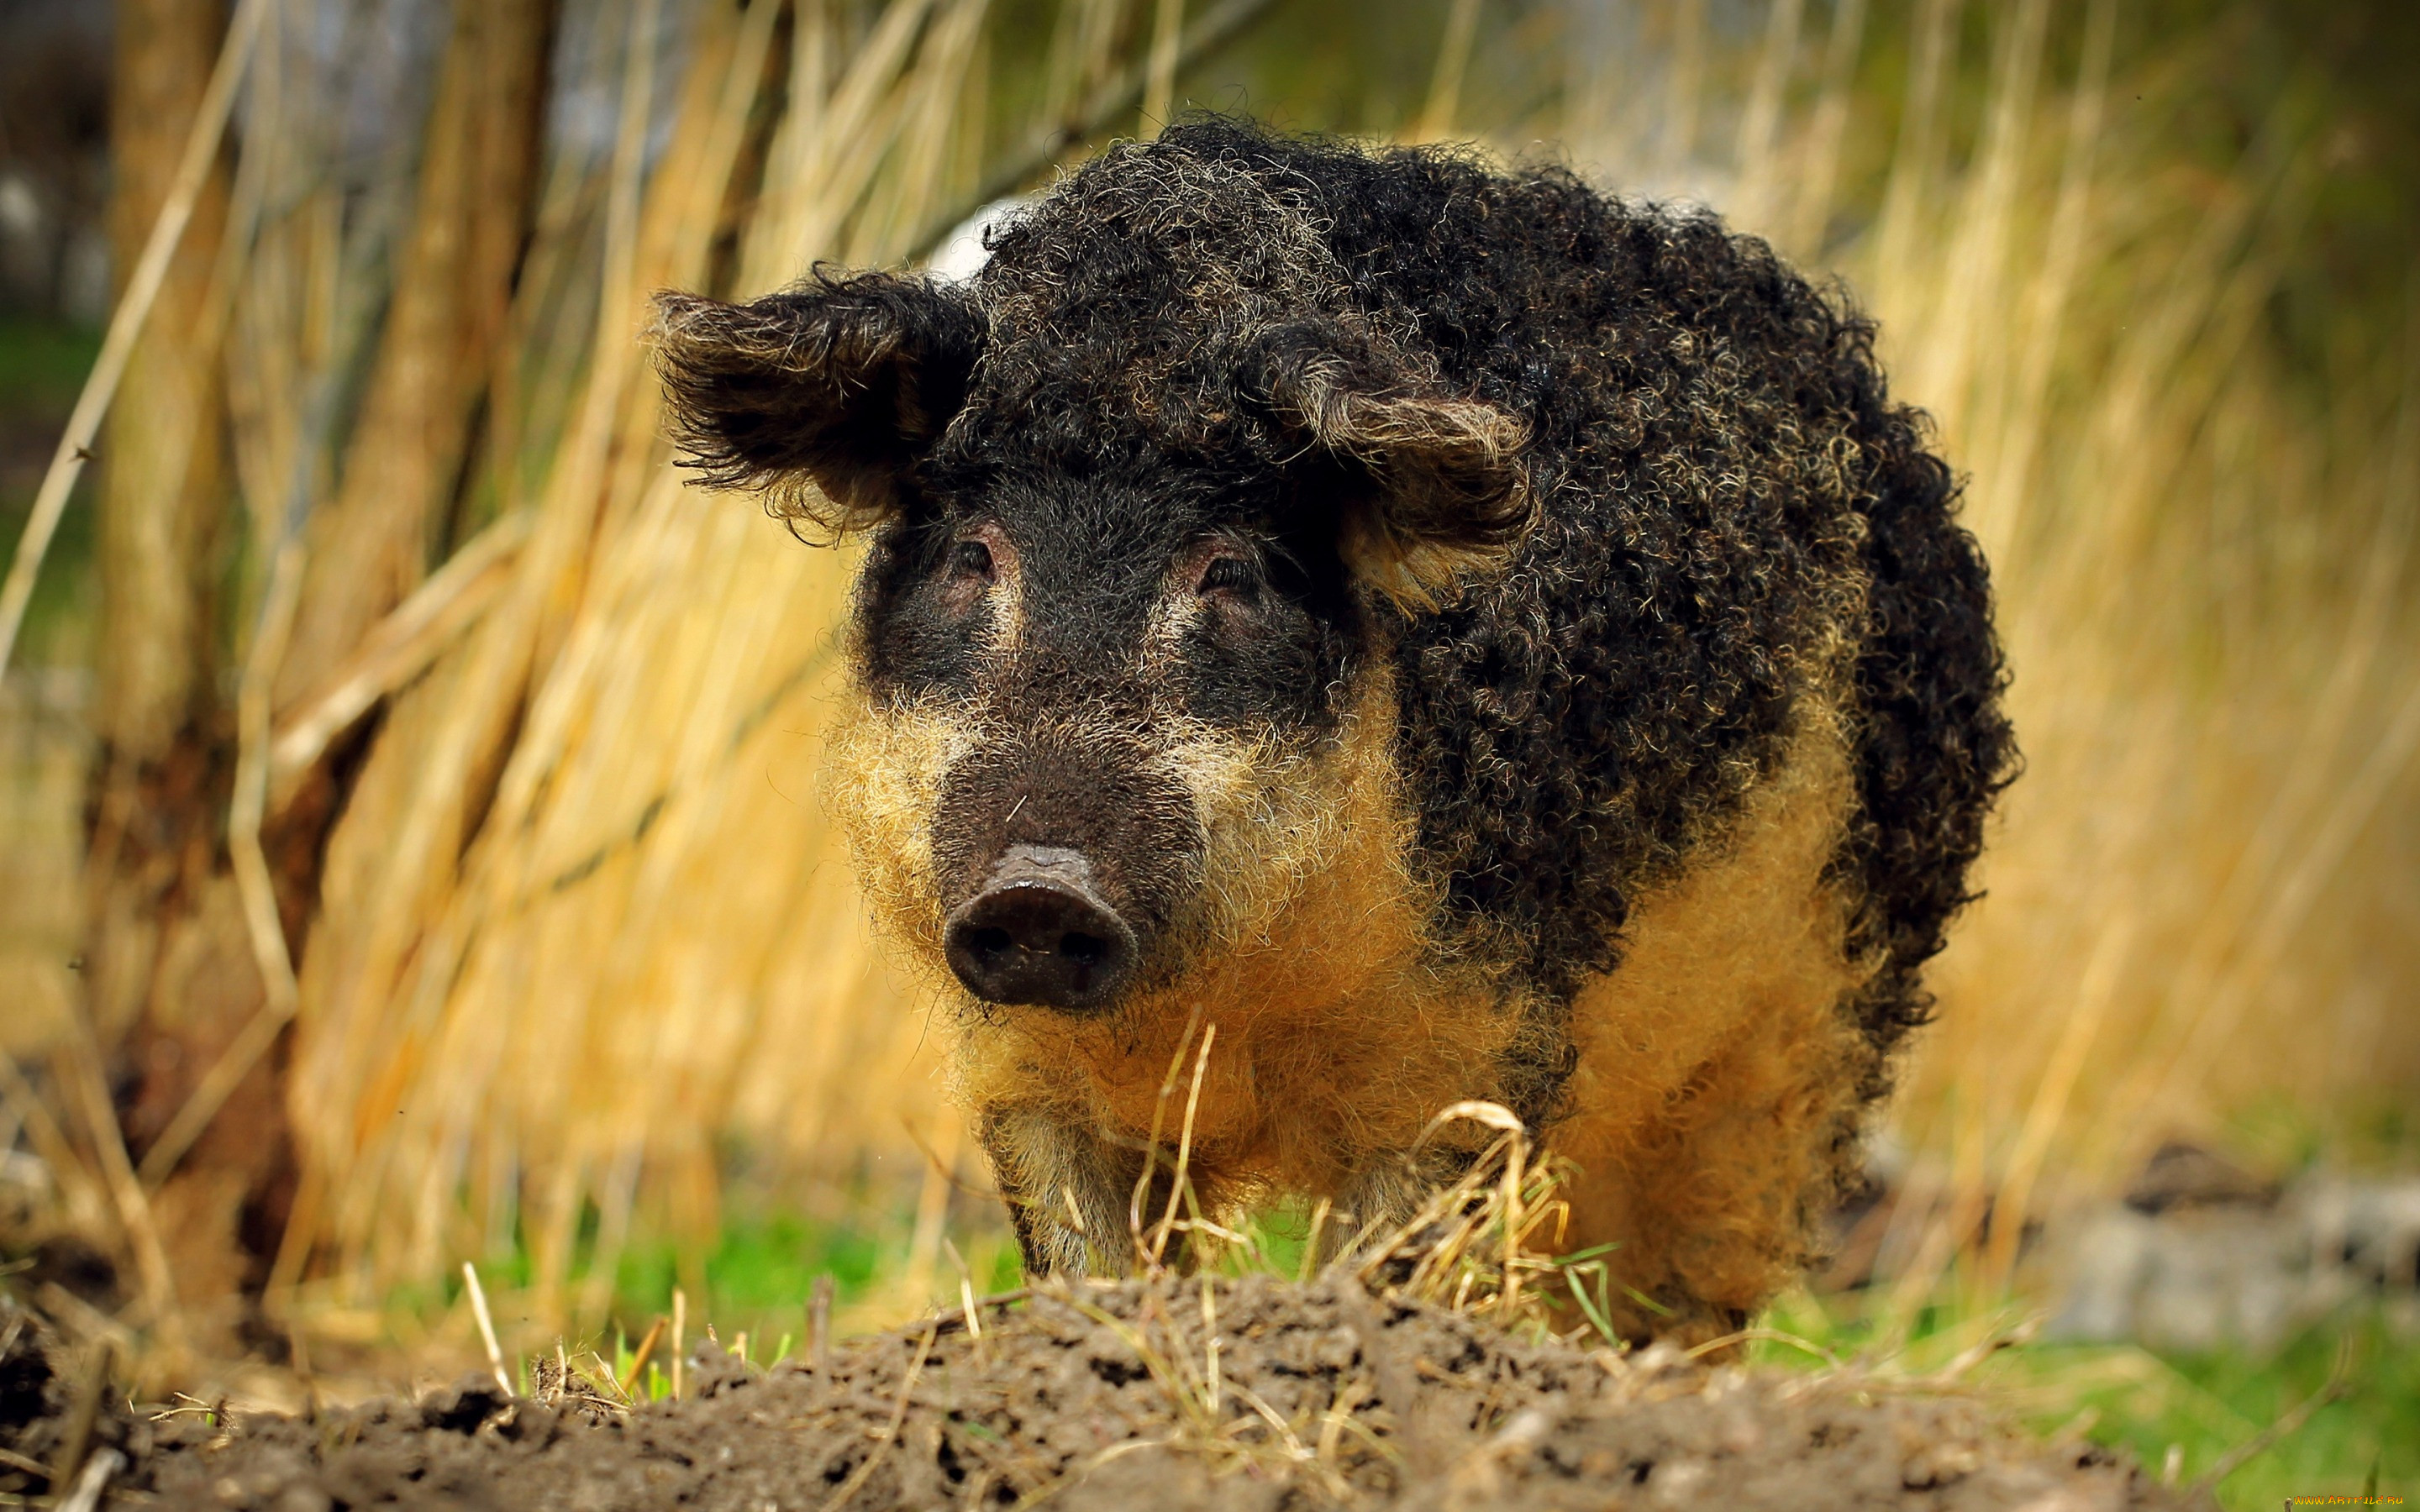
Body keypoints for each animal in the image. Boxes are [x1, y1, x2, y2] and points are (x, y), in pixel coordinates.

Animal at [648, 121, 2023, 1345]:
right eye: (973, 556)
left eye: (1233, 571)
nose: (1040, 886)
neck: (1233, 1006)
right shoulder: (1019, 1061)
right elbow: (1084, 1259)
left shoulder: (1482, 1046)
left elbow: (1395, 1260)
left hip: (1800, 1050)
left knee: (1690, 1295)